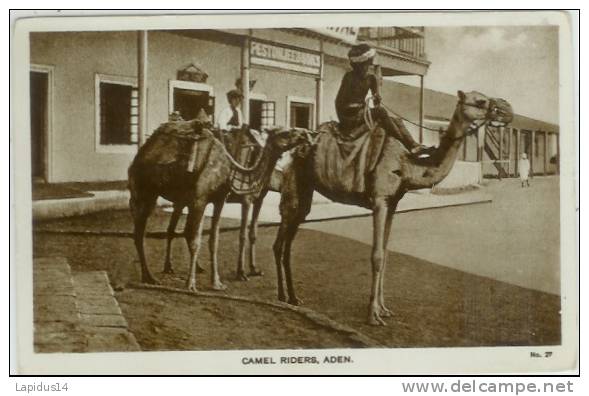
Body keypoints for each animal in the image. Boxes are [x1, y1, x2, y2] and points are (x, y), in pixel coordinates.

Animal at [129, 117, 308, 290]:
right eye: (285, 133)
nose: (305, 134)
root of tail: (142, 151)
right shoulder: (203, 198)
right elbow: (201, 239)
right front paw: (192, 284)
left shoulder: (219, 200)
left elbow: (214, 241)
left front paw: (217, 283)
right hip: (144, 191)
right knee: (141, 233)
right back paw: (150, 277)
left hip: (178, 198)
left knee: (172, 230)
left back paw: (174, 269)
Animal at [272, 91, 510, 326]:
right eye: (480, 100)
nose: (507, 108)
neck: (407, 164)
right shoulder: (379, 199)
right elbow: (376, 256)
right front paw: (373, 315)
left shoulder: (393, 204)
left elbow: (386, 255)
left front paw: (384, 309)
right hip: (294, 182)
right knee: (280, 239)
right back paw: (282, 296)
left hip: (305, 191)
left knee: (290, 238)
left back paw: (293, 298)